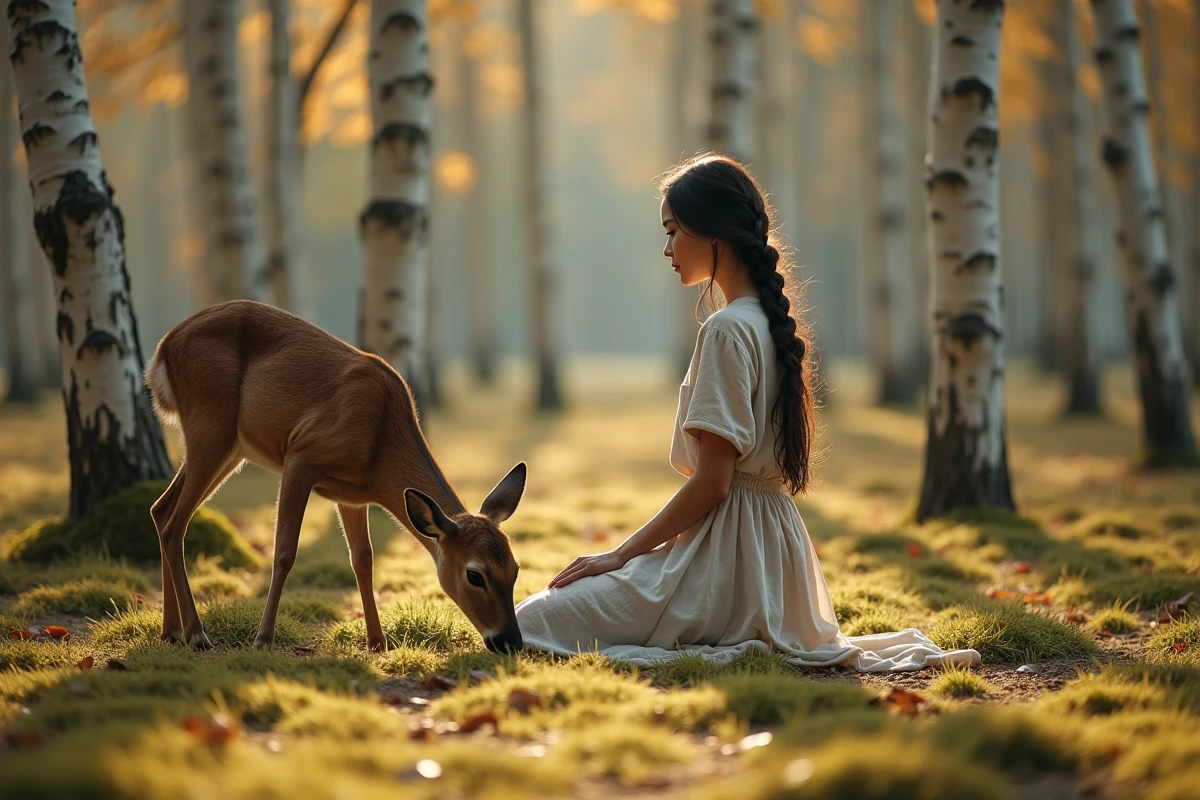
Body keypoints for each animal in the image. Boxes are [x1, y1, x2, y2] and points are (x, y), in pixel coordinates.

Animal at [144, 300, 525, 654]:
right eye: (475, 574)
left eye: (515, 568)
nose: (510, 641)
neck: (379, 446)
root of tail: (163, 348)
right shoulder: (302, 455)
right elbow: (285, 552)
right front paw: (263, 640)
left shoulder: (351, 495)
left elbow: (363, 560)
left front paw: (377, 643)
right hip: (211, 424)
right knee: (175, 522)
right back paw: (196, 634)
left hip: (230, 446)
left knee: (160, 509)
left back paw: (171, 631)